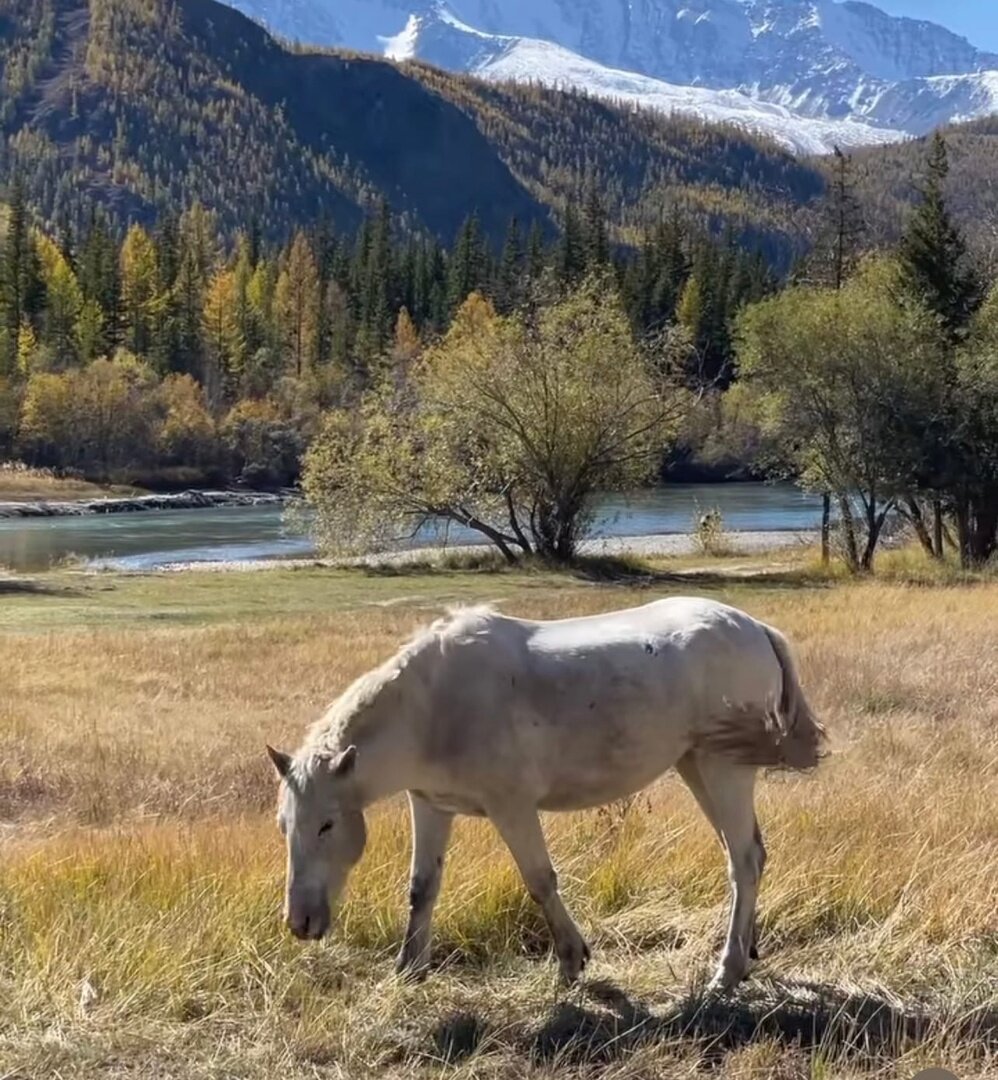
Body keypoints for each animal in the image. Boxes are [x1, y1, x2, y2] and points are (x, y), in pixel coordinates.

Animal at [263, 596, 816, 989]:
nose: (300, 922)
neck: (432, 709)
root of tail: (754, 627)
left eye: (326, 824)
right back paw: (747, 953)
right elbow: (422, 888)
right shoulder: (431, 805)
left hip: (724, 768)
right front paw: (408, 970)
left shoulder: (512, 807)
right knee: (746, 855)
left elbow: (540, 881)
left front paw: (572, 961)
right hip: (696, 765)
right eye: (284, 826)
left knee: (743, 860)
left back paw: (727, 971)